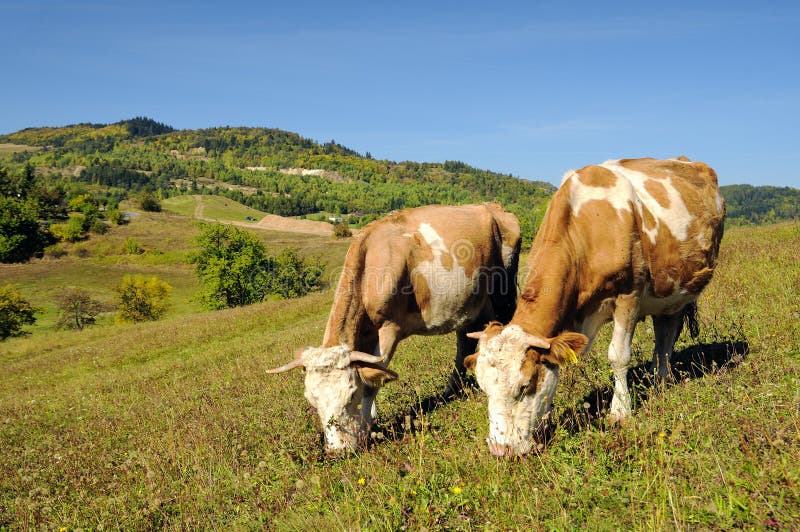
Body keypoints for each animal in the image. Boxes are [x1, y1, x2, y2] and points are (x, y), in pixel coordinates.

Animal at [266, 202, 520, 450]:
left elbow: (372, 379)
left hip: (503, 290)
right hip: (468, 303)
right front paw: (372, 420)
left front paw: (366, 428)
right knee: (464, 342)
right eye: (312, 399)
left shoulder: (389, 328)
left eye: (350, 395)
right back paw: (452, 390)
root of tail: (492, 206)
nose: (339, 450)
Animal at [466, 158, 728, 458]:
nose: (500, 450)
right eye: (483, 388)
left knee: (667, 336)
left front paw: (620, 411)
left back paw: (660, 380)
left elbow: (618, 356)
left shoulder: (629, 293)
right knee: (664, 333)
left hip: (679, 292)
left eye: (524, 385)